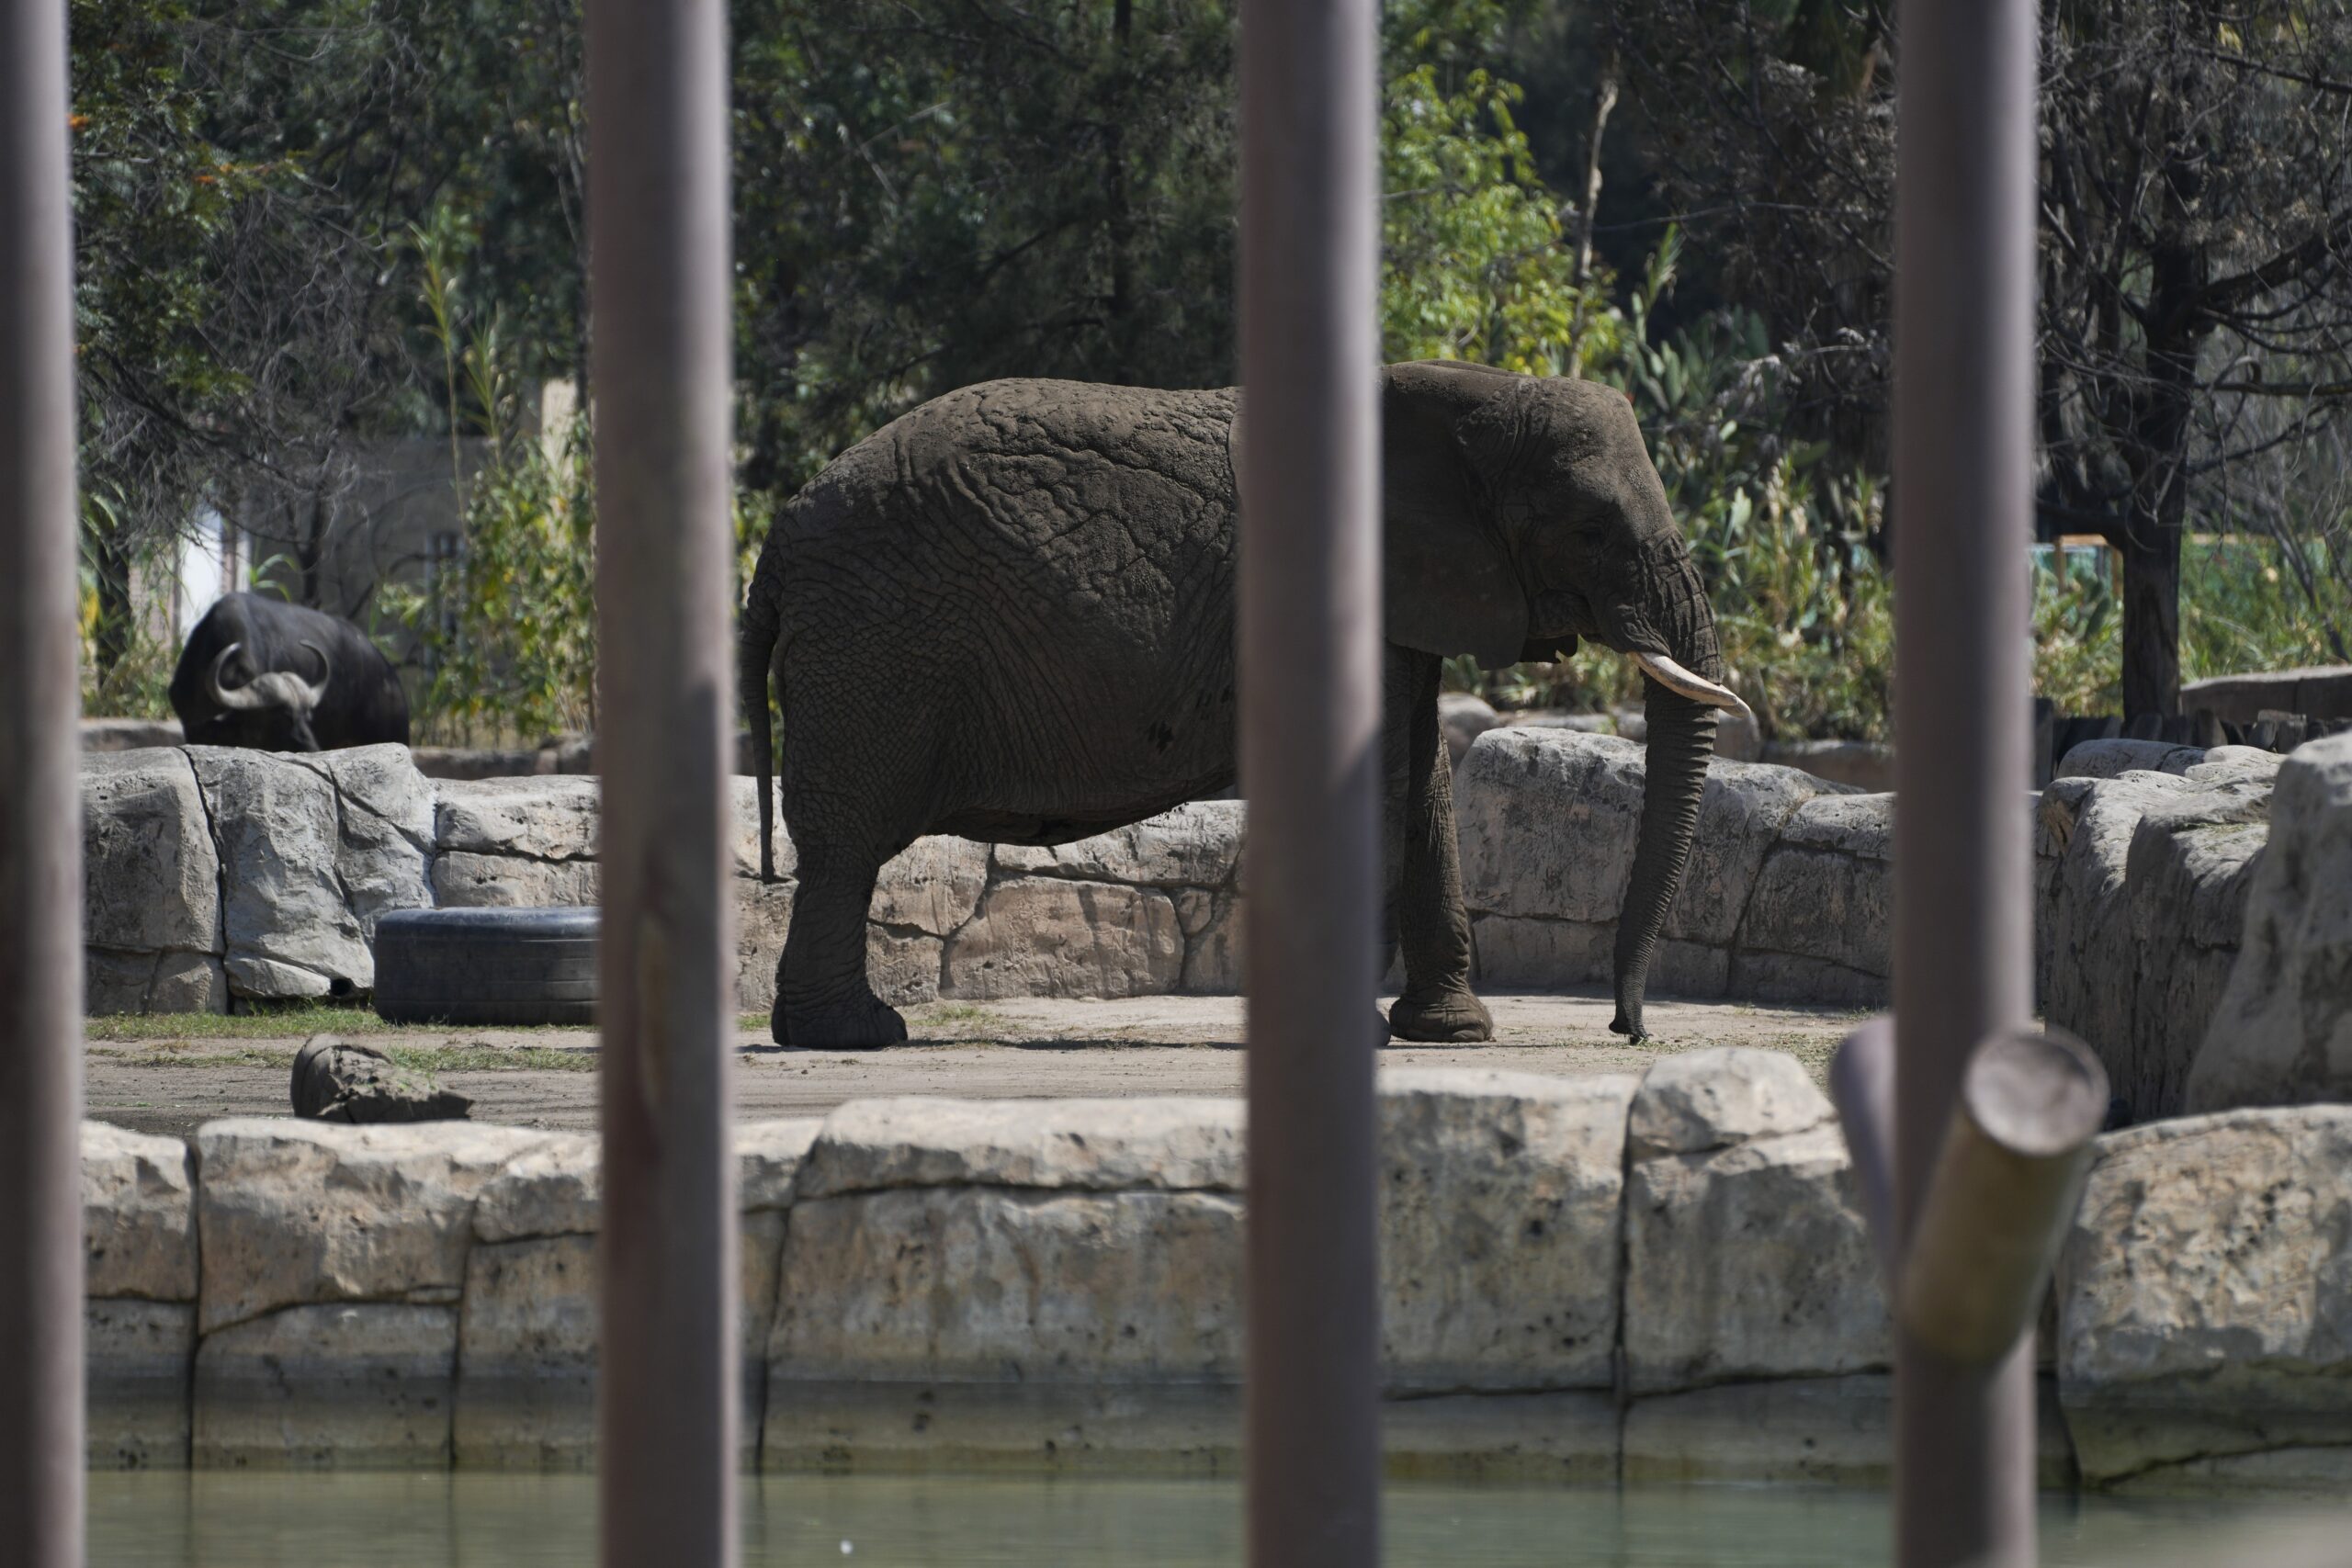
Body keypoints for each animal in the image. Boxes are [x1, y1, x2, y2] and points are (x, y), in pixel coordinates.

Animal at [742, 367, 1758, 1048]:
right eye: (1589, 531)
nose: (1627, 1030)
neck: (1460, 396)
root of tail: (779, 537)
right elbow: (1384, 782)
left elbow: (1425, 778)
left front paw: (1453, 1034)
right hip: (880, 642)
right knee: (846, 843)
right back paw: (859, 1034)